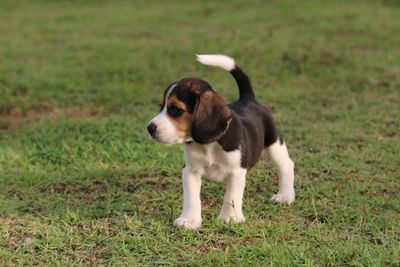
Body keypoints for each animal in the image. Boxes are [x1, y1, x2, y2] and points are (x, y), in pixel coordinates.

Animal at [147, 55, 294, 230]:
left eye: (176, 110)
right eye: (160, 106)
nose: (150, 128)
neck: (207, 145)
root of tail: (248, 99)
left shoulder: (236, 172)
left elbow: (231, 197)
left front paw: (230, 218)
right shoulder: (190, 171)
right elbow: (191, 198)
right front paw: (189, 220)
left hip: (274, 143)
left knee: (286, 165)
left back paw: (285, 196)